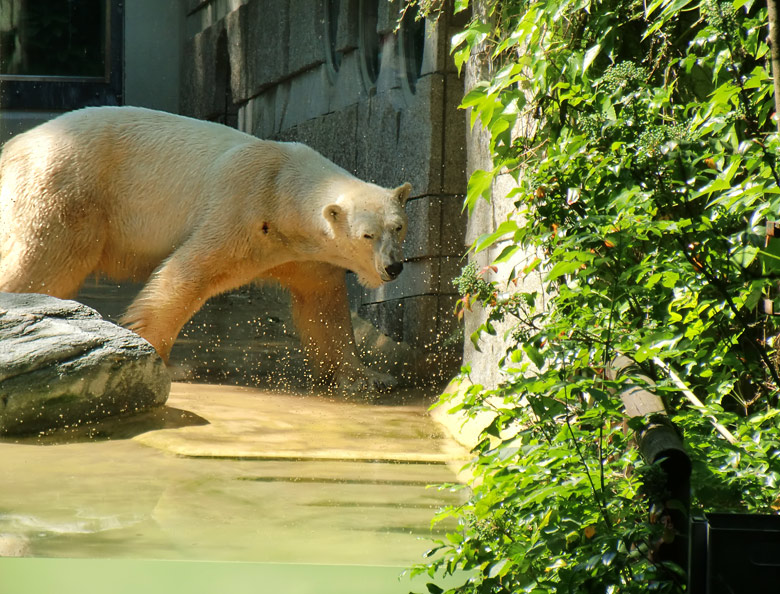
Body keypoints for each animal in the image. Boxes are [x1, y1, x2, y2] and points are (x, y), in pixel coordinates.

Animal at [0, 106, 412, 394]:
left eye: (398, 227)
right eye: (367, 235)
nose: (393, 268)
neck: (285, 190)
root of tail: (13, 147)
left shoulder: (302, 254)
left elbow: (323, 305)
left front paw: (368, 376)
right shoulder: (244, 207)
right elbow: (187, 274)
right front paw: (159, 358)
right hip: (68, 190)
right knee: (45, 261)